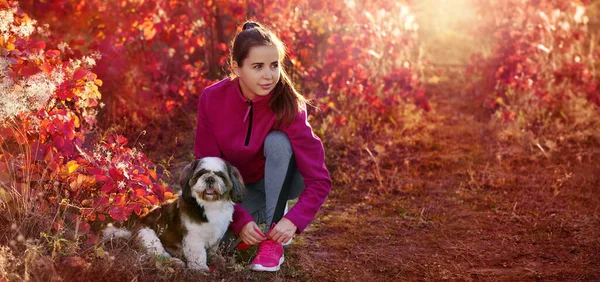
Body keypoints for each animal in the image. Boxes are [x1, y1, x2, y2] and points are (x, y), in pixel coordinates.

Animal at [104, 158, 245, 270]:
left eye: (220, 176)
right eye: (201, 174)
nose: (210, 178)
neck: (209, 205)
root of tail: (132, 232)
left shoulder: (216, 235)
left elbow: (212, 250)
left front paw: (216, 259)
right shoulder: (193, 237)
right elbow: (198, 254)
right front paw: (200, 268)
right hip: (148, 236)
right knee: (159, 255)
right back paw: (176, 262)